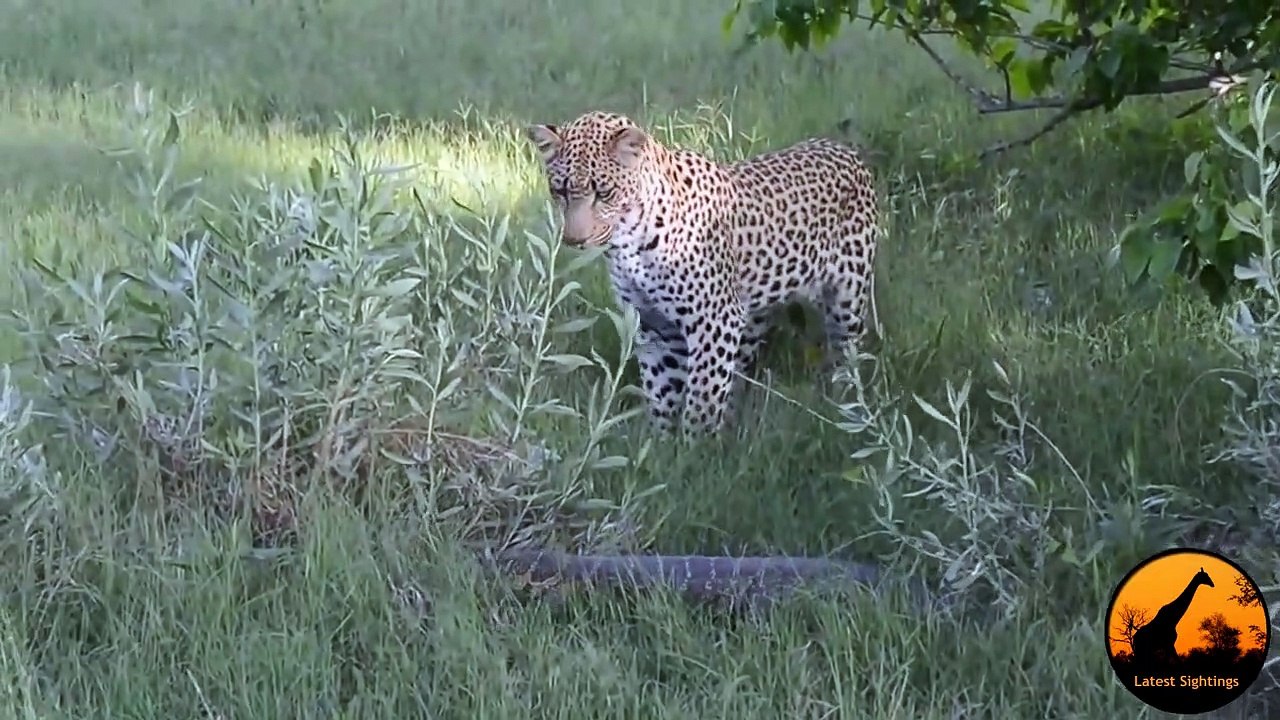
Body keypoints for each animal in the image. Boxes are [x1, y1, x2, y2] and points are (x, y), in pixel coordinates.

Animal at [525, 111, 880, 435]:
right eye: (560, 191)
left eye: (603, 192)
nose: (574, 239)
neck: (629, 245)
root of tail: (842, 148)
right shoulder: (654, 326)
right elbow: (662, 391)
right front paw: (660, 446)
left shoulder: (713, 321)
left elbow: (702, 398)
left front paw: (696, 448)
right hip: (752, 314)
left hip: (846, 303)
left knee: (846, 357)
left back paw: (847, 410)